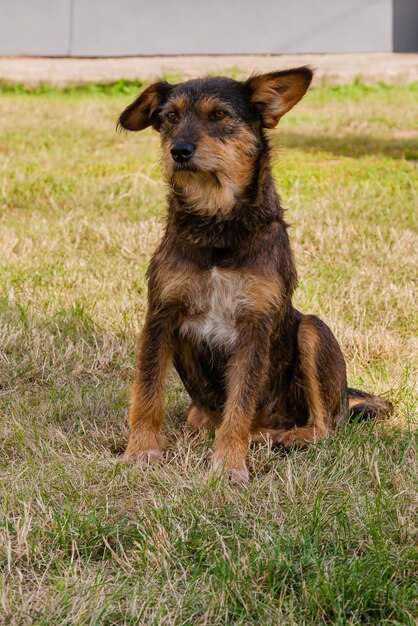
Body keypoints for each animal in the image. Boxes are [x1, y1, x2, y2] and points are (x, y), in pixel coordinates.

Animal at [116, 68, 392, 486]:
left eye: (219, 115)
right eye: (169, 117)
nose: (178, 150)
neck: (218, 226)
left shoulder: (254, 327)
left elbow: (239, 406)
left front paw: (230, 464)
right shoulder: (160, 316)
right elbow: (147, 393)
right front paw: (142, 450)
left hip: (312, 330)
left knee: (324, 427)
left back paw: (279, 437)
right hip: (201, 409)